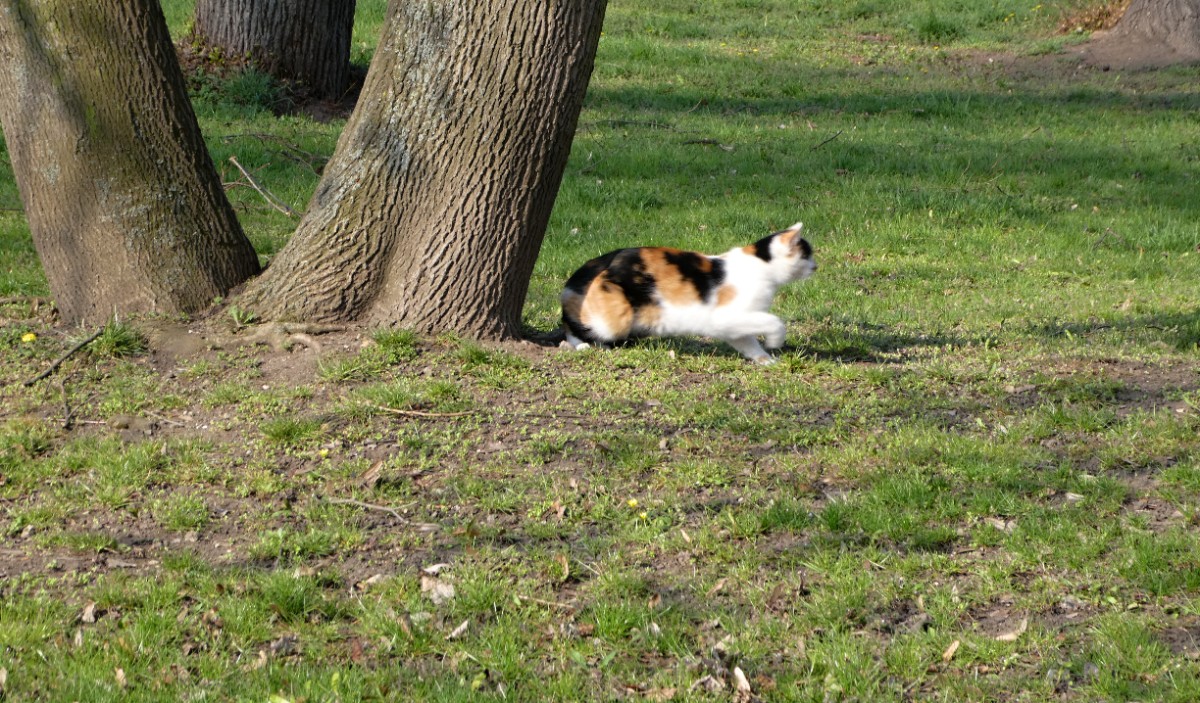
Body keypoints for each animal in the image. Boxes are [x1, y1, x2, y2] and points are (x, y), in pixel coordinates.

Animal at [560, 222, 816, 364]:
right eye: (807, 255)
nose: (816, 266)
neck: (760, 265)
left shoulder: (733, 325)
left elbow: (749, 342)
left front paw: (766, 360)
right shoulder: (726, 316)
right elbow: (775, 322)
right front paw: (775, 342)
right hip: (615, 318)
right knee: (574, 327)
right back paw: (583, 346)